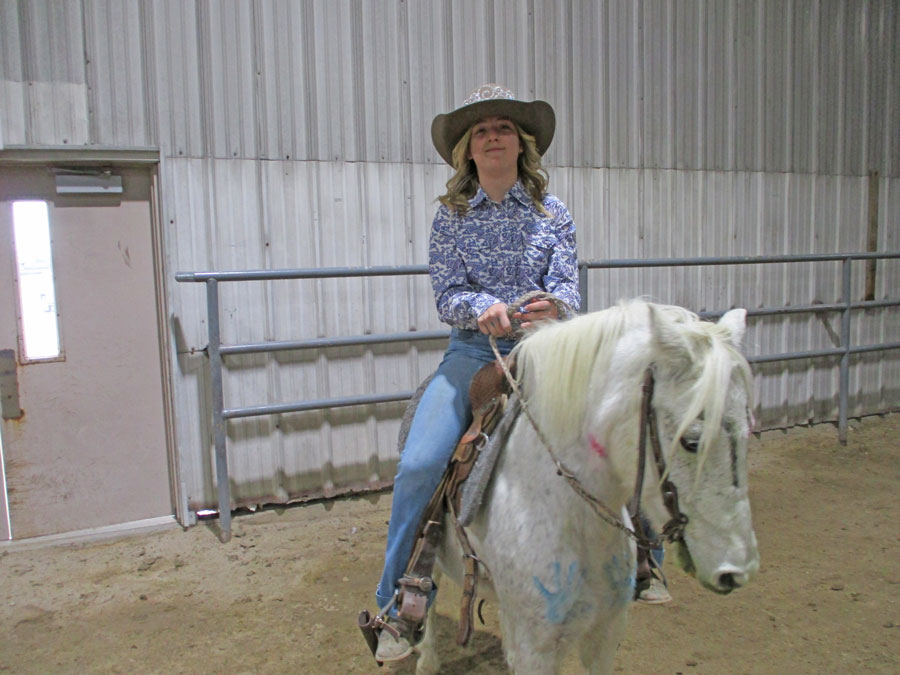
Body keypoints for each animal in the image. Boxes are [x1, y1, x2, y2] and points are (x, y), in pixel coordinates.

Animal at [413, 300, 759, 674]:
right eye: (692, 441)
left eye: (748, 429)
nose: (737, 571)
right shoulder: (533, 649)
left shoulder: (606, 635)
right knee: (428, 591)